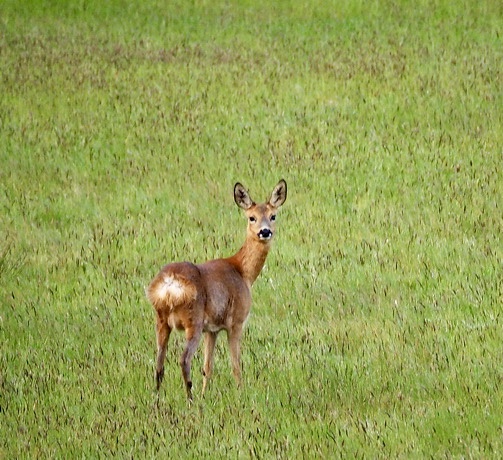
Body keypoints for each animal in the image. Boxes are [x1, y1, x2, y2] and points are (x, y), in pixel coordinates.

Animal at [146, 179, 288, 398]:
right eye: (252, 217)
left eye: (273, 216)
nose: (265, 231)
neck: (243, 272)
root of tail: (169, 285)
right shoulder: (236, 321)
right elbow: (235, 364)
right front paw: (241, 393)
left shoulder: (211, 329)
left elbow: (208, 366)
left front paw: (206, 394)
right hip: (192, 320)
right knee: (184, 359)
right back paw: (190, 398)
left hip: (162, 320)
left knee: (159, 362)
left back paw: (158, 397)